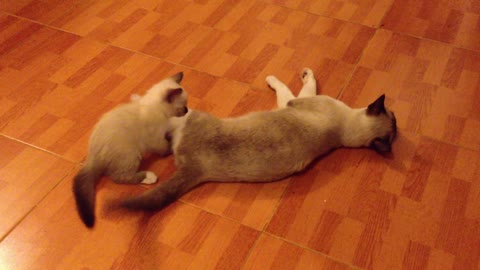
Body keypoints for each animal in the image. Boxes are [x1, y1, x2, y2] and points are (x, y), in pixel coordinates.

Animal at [73, 71, 188, 228]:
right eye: (183, 106)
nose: (187, 110)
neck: (153, 108)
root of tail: (93, 156)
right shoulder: (156, 139)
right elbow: (165, 148)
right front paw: (172, 143)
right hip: (132, 154)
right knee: (120, 177)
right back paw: (149, 177)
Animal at [114, 68, 396, 215]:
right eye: (393, 115)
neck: (344, 130)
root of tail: (195, 168)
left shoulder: (294, 101)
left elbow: (294, 86)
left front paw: (285, 77)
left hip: (188, 114)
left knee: (164, 112)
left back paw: (145, 98)